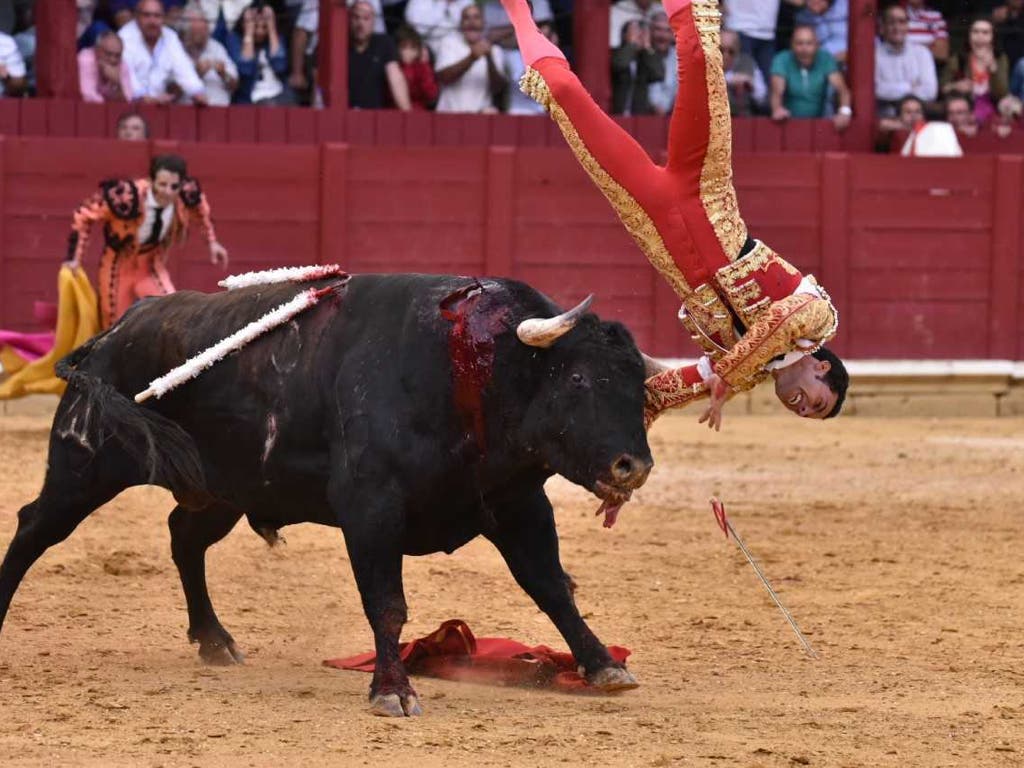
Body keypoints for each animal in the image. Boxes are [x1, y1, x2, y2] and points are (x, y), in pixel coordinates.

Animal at [0, 274, 651, 716]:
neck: (473, 365)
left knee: (184, 538)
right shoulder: (371, 508)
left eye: (638, 386)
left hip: (221, 490)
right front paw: (392, 691)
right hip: (85, 464)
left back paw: (215, 642)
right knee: (35, 527)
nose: (634, 465)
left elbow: (552, 586)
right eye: (578, 378)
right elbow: (387, 604)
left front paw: (602, 666)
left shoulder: (518, 505)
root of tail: (112, 331)